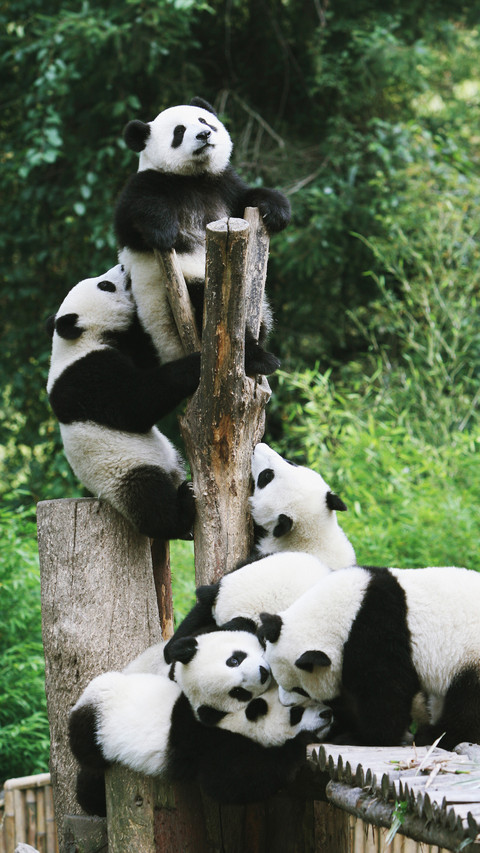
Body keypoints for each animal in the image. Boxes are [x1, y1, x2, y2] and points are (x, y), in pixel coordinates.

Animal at [46, 264, 200, 541]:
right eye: (105, 285)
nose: (122, 267)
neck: (77, 342)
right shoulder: (85, 376)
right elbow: (136, 403)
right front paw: (197, 364)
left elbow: (149, 352)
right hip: (124, 471)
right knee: (150, 501)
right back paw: (182, 511)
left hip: (170, 457)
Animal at [69, 629, 333, 813]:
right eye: (296, 713)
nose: (327, 714)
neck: (232, 717)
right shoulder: (207, 743)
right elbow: (235, 781)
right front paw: (300, 743)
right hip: (95, 724)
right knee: (90, 764)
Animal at [114, 97, 290, 373]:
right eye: (179, 132)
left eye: (204, 121)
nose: (204, 134)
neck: (192, 178)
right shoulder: (149, 183)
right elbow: (132, 217)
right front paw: (163, 231)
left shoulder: (223, 184)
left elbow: (248, 197)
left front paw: (277, 210)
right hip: (167, 302)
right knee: (208, 304)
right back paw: (258, 357)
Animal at [259, 564, 480, 750]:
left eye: (300, 689)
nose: (286, 704)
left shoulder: (378, 633)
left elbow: (385, 694)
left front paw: (357, 738)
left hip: (470, 654)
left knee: (467, 704)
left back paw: (435, 736)